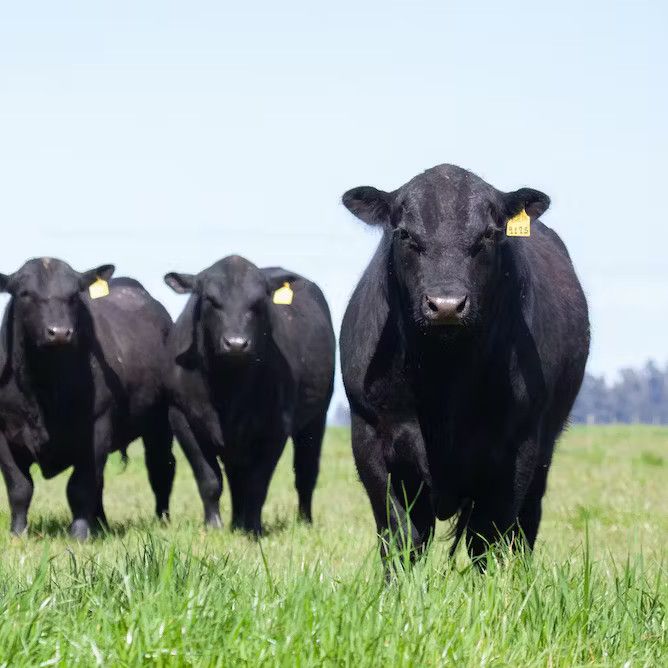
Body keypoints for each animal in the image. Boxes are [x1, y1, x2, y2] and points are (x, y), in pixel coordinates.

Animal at [0, 258, 175, 540]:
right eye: (25, 293)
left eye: (74, 295)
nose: (60, 332)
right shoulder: (5, 435)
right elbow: (19, 487)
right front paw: (17, 534)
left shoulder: (97, 428)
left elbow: (80, 487)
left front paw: (79, 535)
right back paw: (101, 524)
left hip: (160, 422)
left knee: (161, 468)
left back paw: (161, 520)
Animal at [164, 255, 335, 535]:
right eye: (210, 299)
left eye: (258, 302)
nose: (236, 343)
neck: (227, 387)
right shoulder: (181, 418)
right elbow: (210, 480)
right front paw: (214, 526)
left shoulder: (275, 428)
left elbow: (258, 483)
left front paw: (253, 528)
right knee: (236, 478)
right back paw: (236, 522)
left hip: (316, 418)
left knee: (306, 474)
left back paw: (303, 521)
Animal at [340, 164, 590, 567]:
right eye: (404, 233)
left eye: (489, 234)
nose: (446, 305)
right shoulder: (371, 437)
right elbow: (400, 535)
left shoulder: (516, 446)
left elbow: (486, 537)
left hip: (544, 451)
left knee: (526, 523)